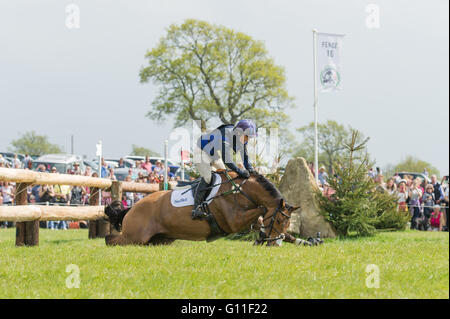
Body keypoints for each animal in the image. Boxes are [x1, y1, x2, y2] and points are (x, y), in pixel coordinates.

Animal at [104, 170, 320, 248]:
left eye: (287, 224)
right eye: (279, 220)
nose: (275, 245)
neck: (242, 191)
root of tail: (131, 208)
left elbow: (261, 219)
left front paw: (309, 241)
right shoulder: (233, 222)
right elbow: (260, 210)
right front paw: (262, 237)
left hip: (161, 239)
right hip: (135, 236)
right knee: (110, 240)